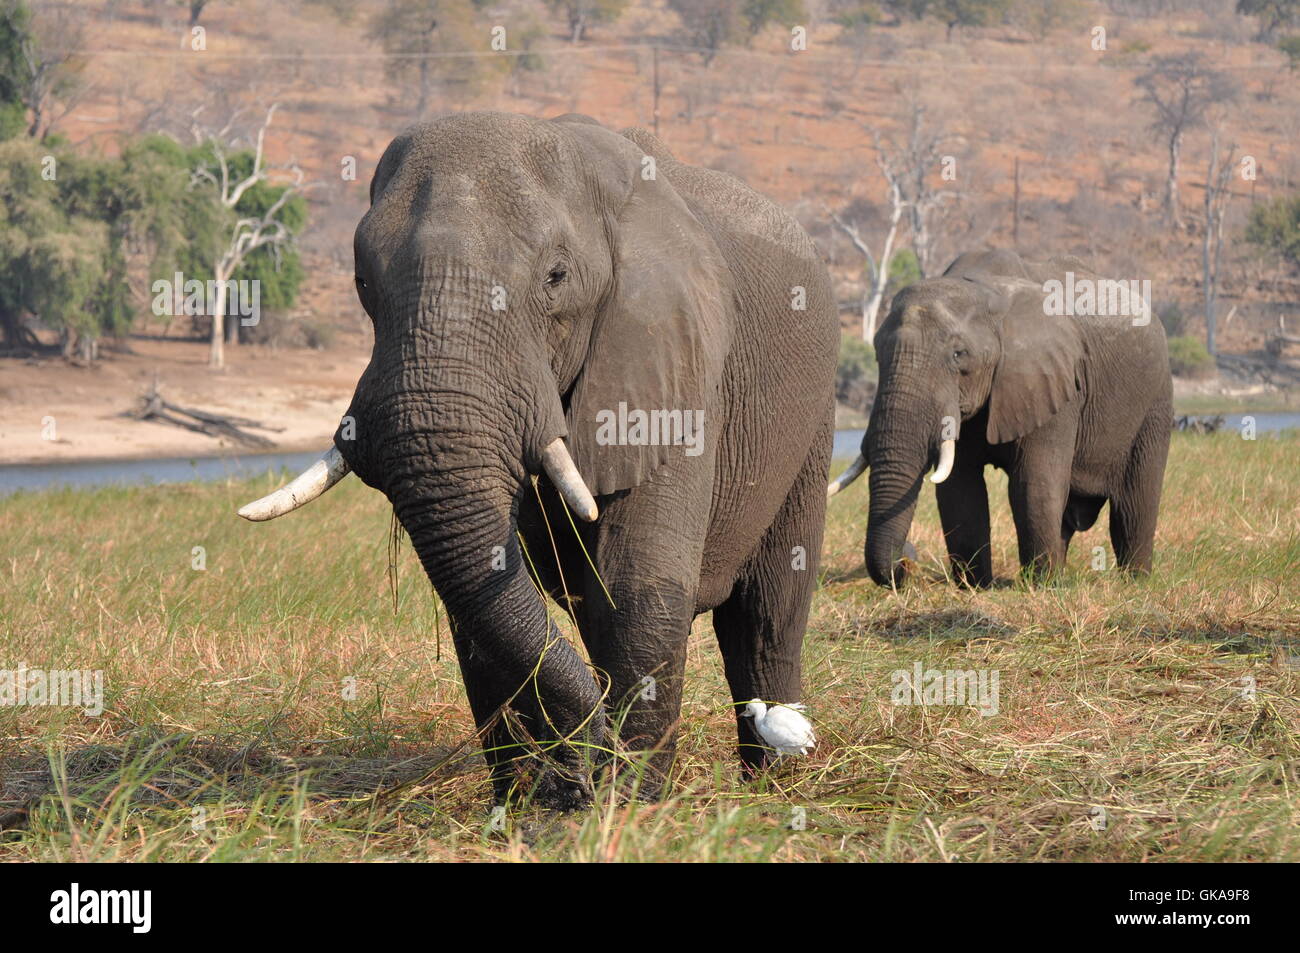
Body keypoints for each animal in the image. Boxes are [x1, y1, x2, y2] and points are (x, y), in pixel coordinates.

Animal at [239, 113, 837, 811]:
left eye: (556, 277)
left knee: (768, 611)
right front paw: (532, 809)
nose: (585, 768)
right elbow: (485, 598)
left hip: (815, 411)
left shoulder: (676, 358)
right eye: (363, 282)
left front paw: (625, 806)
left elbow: (636, 586)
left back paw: (774, 787)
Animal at [826, 249, 1175, 582]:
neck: (984, 289)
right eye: (876, 354)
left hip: (1156, 401)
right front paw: (975, 586)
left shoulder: (1055, 383)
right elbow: (959, 487)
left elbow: (1034, 484)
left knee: (1134, 506)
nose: (907, 560)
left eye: (958, 355)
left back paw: (1133, 581)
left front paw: (1041, 586)